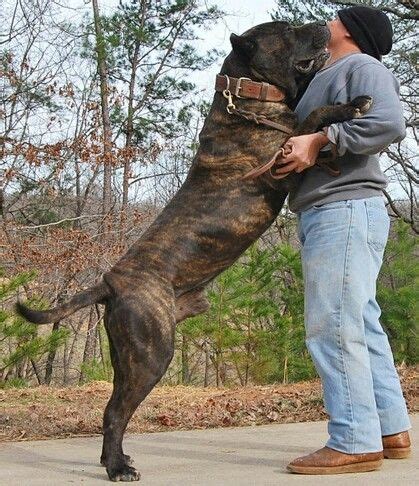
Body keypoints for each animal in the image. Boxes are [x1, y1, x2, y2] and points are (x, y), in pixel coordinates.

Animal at [16, 19, 372, 482]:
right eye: (287, 30)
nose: (322, 24)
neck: (248, 97)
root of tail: (110, 282)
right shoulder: (280, 159)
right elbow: (312, 118)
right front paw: (348, 107)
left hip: (127, 355)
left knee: (116, 406)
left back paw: (118, 460)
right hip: (151, 353)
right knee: (114, 413)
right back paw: (118, 468)